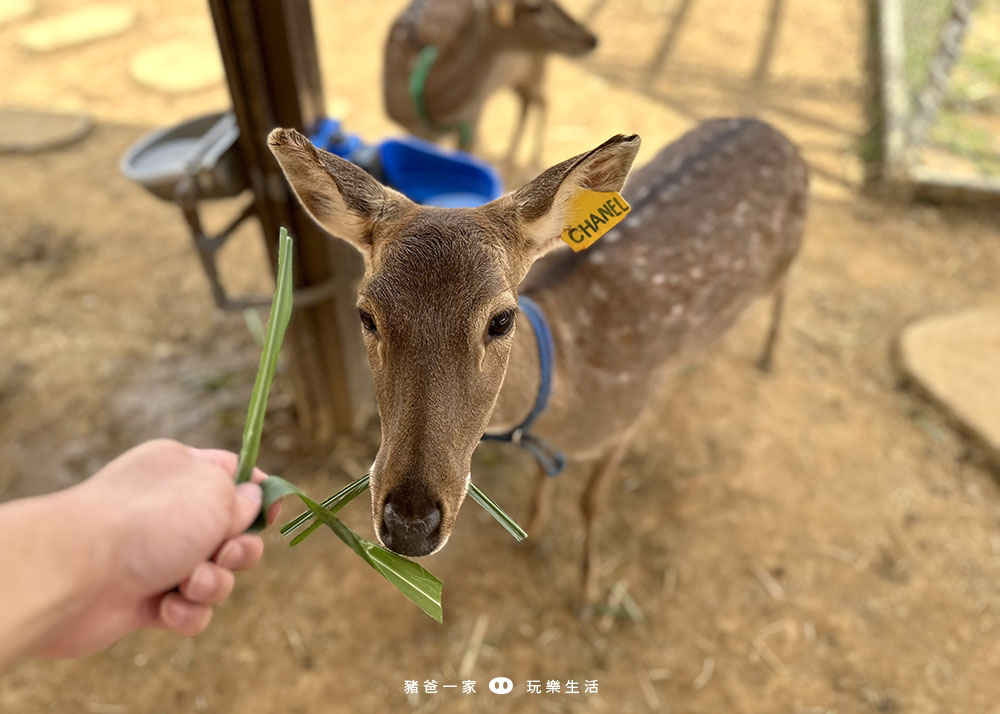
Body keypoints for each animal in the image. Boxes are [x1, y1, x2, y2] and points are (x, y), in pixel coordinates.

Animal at [270, 117, 808, 600]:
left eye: (502, 319)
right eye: (366, 315)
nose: (409, 523)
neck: (567, 379)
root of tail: (779, 133)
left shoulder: (625, 419)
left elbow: (591, 502)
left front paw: (588, 589)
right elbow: (542, 476)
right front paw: (531, 535)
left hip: (789, 256)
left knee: (785, 290)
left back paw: (767, 356)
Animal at [384, 0, 596, 168]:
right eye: (534, 7)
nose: (591, 39)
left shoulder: (472, 117)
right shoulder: (415, 129)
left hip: (534, 67)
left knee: (538, 101)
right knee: (534, 101)